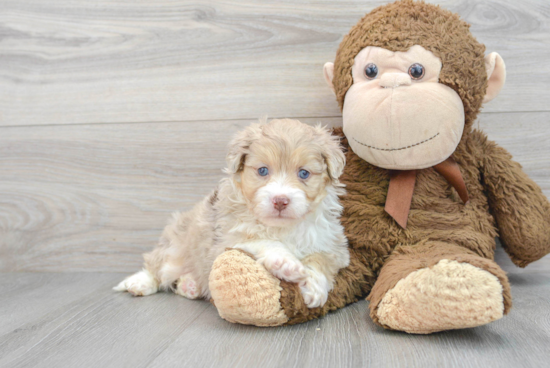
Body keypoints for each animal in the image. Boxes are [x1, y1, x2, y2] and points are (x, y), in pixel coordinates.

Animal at [114, 118, 352, 308]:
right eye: (262, 170)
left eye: (304, 173)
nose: (280, 201)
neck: (281, 227)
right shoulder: (229, 239)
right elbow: (263, 240)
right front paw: (285, 262)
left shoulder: (332, 245)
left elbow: (320, 261)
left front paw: (313, 287)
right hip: (175, 246)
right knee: (157, 265)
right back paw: (140, 282)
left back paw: (189, 285)